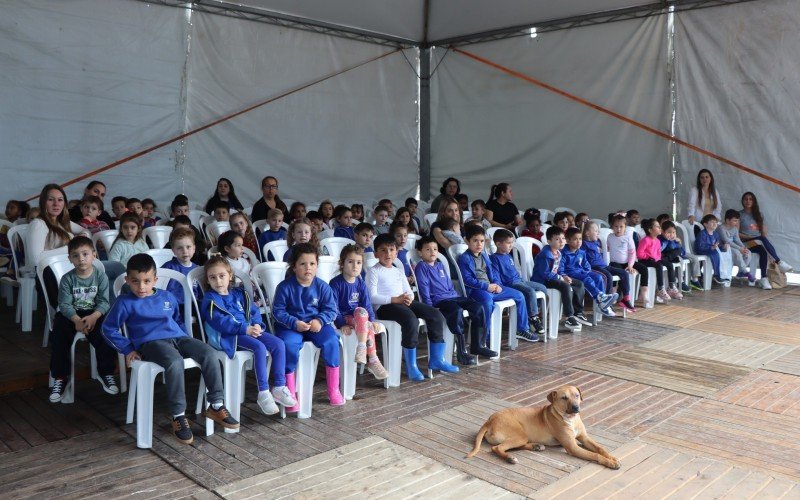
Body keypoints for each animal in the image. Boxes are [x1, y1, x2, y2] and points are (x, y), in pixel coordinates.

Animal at [466, 386, 620, 468]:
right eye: (564, 398)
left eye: (577, 395)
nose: (576, 408)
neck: (569, 418)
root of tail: (489, 420)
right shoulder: (572, 447)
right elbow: (595, 454)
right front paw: (610, 463)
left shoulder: (585, 438)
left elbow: (600, 448)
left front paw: (612, 457)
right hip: (519, 435)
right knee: (497, 448)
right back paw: (510, 458)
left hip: (521, 437)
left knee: (511, 446)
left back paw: (535, 446)